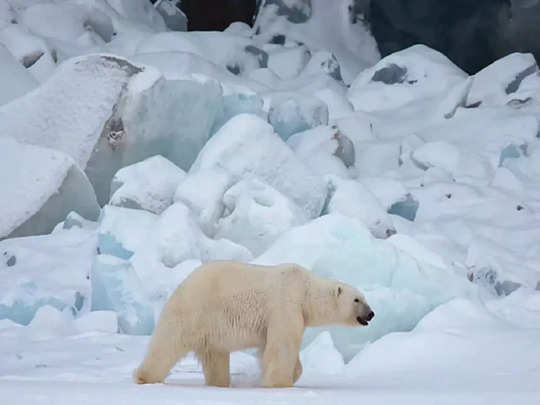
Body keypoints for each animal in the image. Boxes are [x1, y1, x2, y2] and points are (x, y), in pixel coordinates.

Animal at [133, 260, 374, 386]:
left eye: (364, 297)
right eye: (357, 299)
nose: (371, 314)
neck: (305, 289)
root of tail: (181, 286)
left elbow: (271, 346)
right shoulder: (285, 304)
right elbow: (282, 345)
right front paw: (279, 382)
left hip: (210, 328)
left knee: (215, 357)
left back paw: (220, 383)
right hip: (193, 312)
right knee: (167, 344)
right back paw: (144, 377)